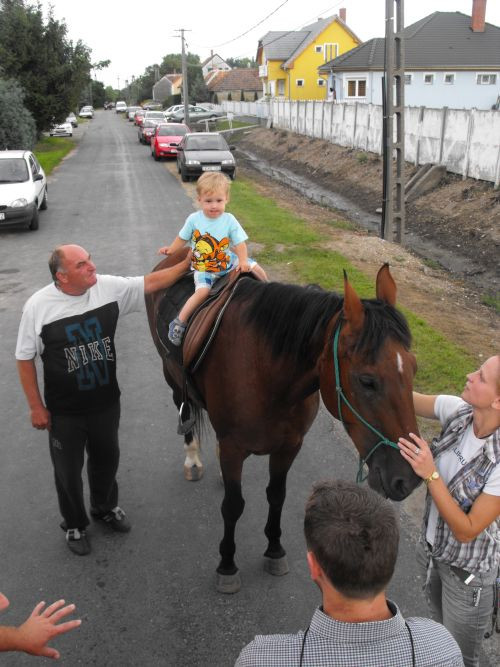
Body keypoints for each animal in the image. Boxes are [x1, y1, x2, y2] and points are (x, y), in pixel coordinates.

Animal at [146, 264, 422, 592]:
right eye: (367, 381)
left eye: (414, 368)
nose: (408, 477)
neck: (266, 372)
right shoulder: (234, 449)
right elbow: (233, 505)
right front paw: (227, 564)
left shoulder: (289, 446)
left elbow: (277, 495)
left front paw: (274, 550)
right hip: (173, 378)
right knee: (184, 406)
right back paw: (192, 459)